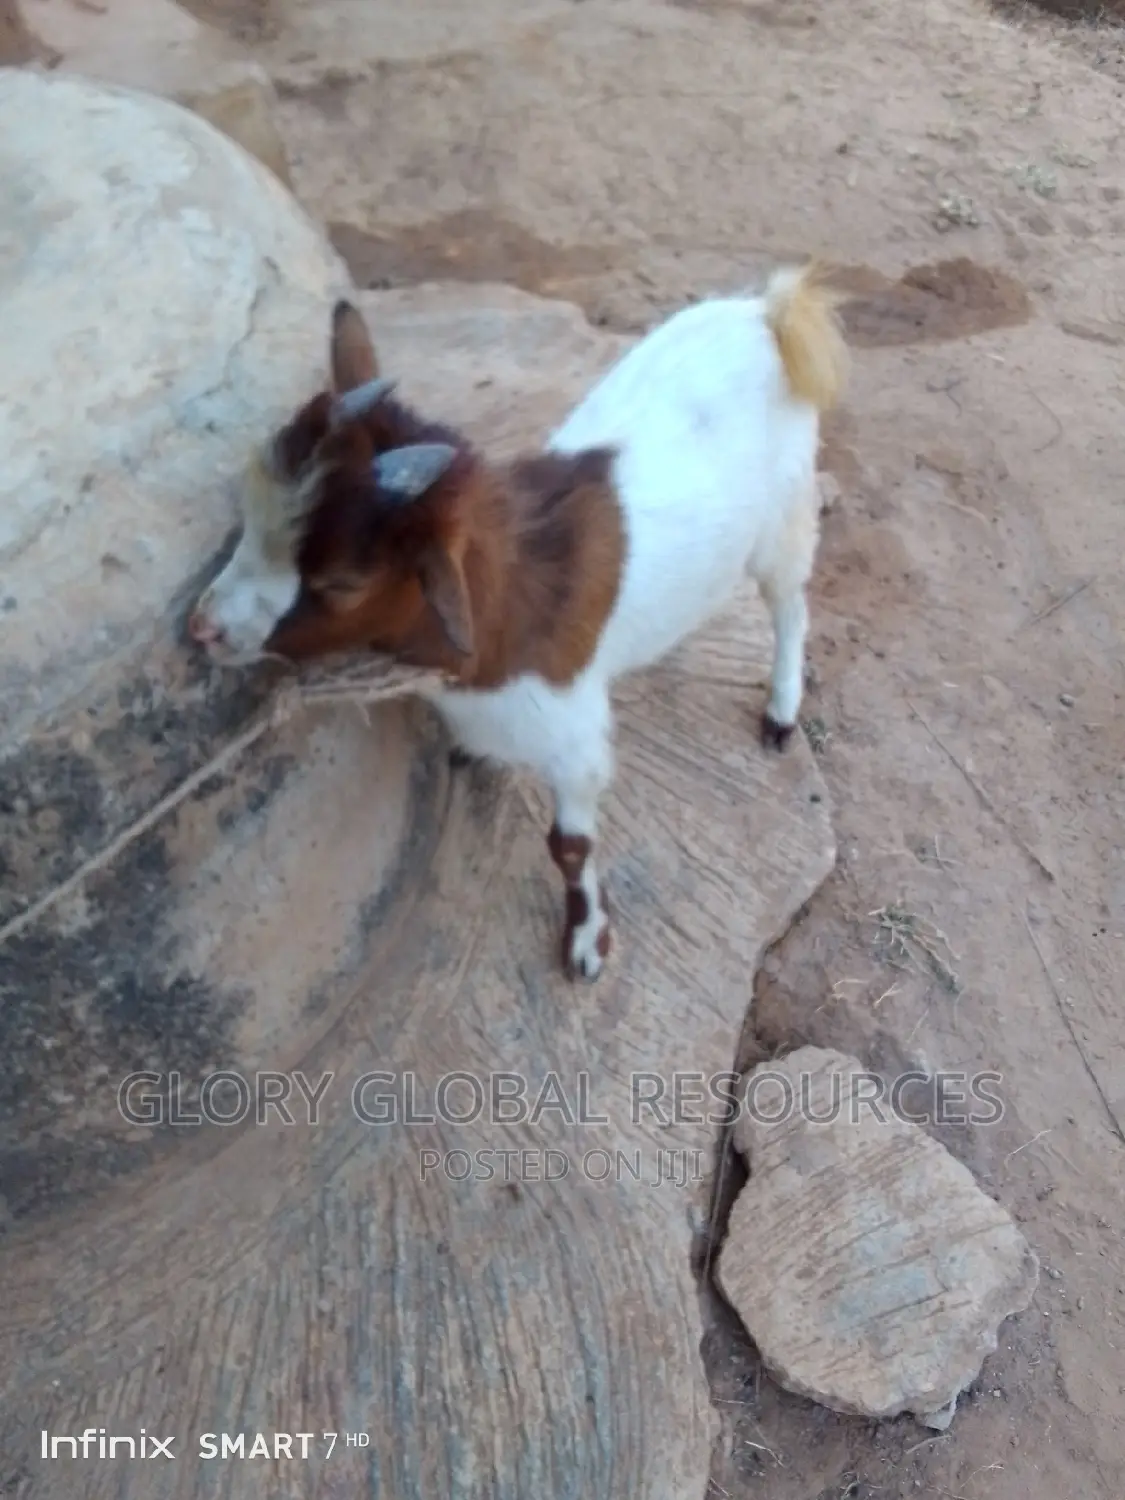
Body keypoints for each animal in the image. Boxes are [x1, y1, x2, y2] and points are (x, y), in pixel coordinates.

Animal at [188, 266, 847, 981]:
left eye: (341, 582)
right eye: (247, 513)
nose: (203, 629)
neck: (501, 603)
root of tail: (768, 314)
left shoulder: (575, 742)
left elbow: (569, 845)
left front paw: (586, 943)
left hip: (785, 516)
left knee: (790, 605)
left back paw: (781, 709)